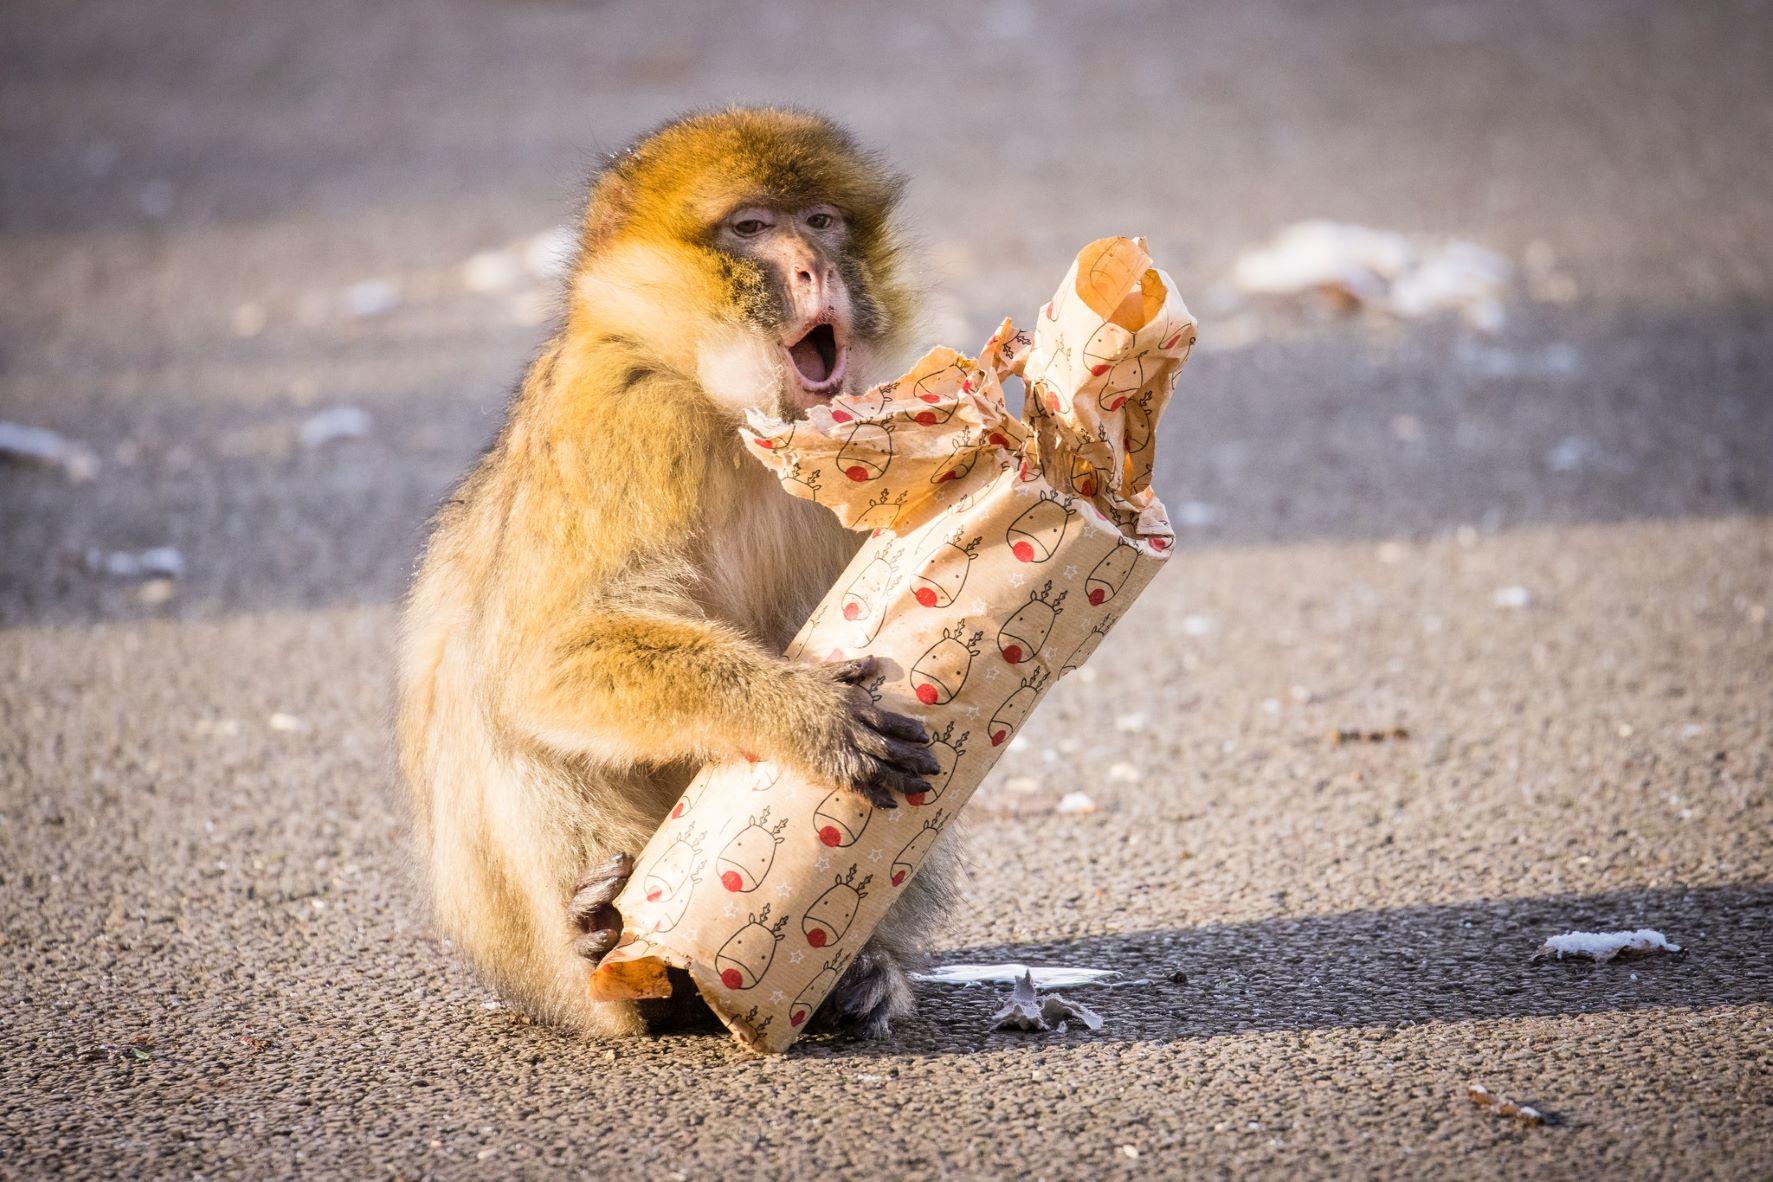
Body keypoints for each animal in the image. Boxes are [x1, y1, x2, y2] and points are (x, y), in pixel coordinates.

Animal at [397, 108, 964, 1034]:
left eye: (820, 222)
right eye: (751, 228)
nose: (812, 267)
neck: (725, 407)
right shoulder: (623, 414)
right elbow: (542, 658)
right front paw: (798, 712)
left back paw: (851, 971)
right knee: (510, 722)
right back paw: (616, 955)